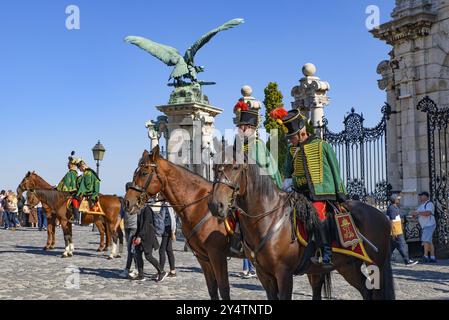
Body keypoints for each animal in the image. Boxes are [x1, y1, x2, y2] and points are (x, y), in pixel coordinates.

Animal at [122, 148, 234, 300]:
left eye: (144, 173)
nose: (127, 202)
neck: (199, 204)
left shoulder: (217, 255)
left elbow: (224, 289)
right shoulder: (203, 257)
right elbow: (212, 288)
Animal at [208, 164, 394, 302]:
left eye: (236, 167)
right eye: (215, 167)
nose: (216, 205)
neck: (267, 218)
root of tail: (382, 216)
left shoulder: (284, 274)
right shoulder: (264, 275)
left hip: (375, 265)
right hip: (347, 266)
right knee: (365, 291)